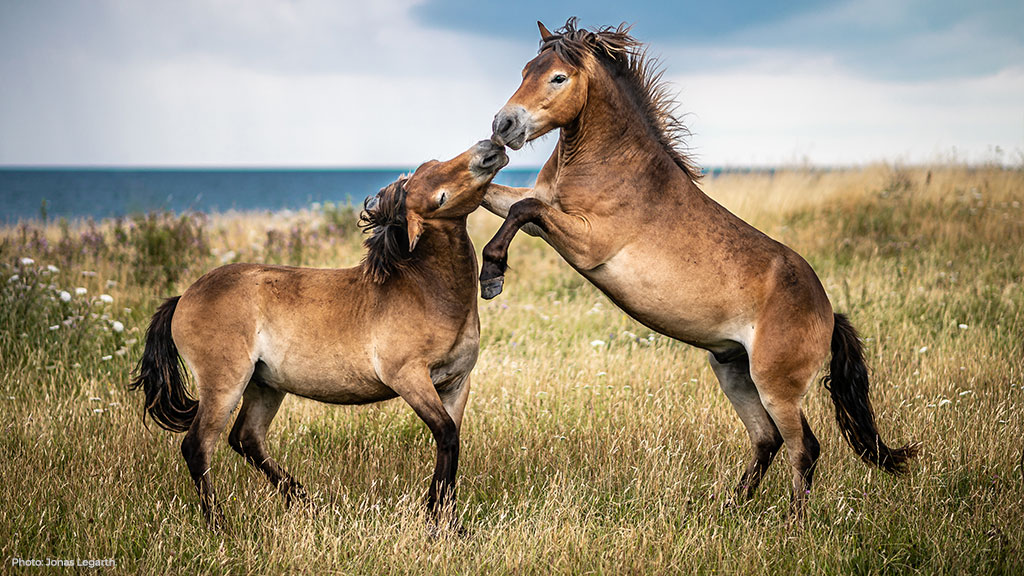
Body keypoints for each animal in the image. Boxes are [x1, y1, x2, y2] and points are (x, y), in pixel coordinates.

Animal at [130, 140, 509, 529]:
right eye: (437, 190)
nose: (489, 146)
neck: (425, 291)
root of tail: (182, 298)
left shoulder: (455, 384)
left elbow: (450, 441)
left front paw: (450, 522)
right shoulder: (410, 378)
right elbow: (446, 436)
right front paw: (438, 521)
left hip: (265, 385)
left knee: (246, 438)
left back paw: (305, 503)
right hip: (225, 383)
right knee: (197, 446)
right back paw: (220, 524)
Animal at [480, 18, 918, 518]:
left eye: (558, 77)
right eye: (525, 69)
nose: (503, 124)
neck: (610, 162)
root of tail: (828, 314)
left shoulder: (586, 241)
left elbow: (523, 210)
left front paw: (492, 272)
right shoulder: (545, 217)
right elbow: (498, 198)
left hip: (777, 386)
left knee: (803, 447)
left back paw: (793, 523)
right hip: (733, 372)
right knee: (766, 439)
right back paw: (730, 508)